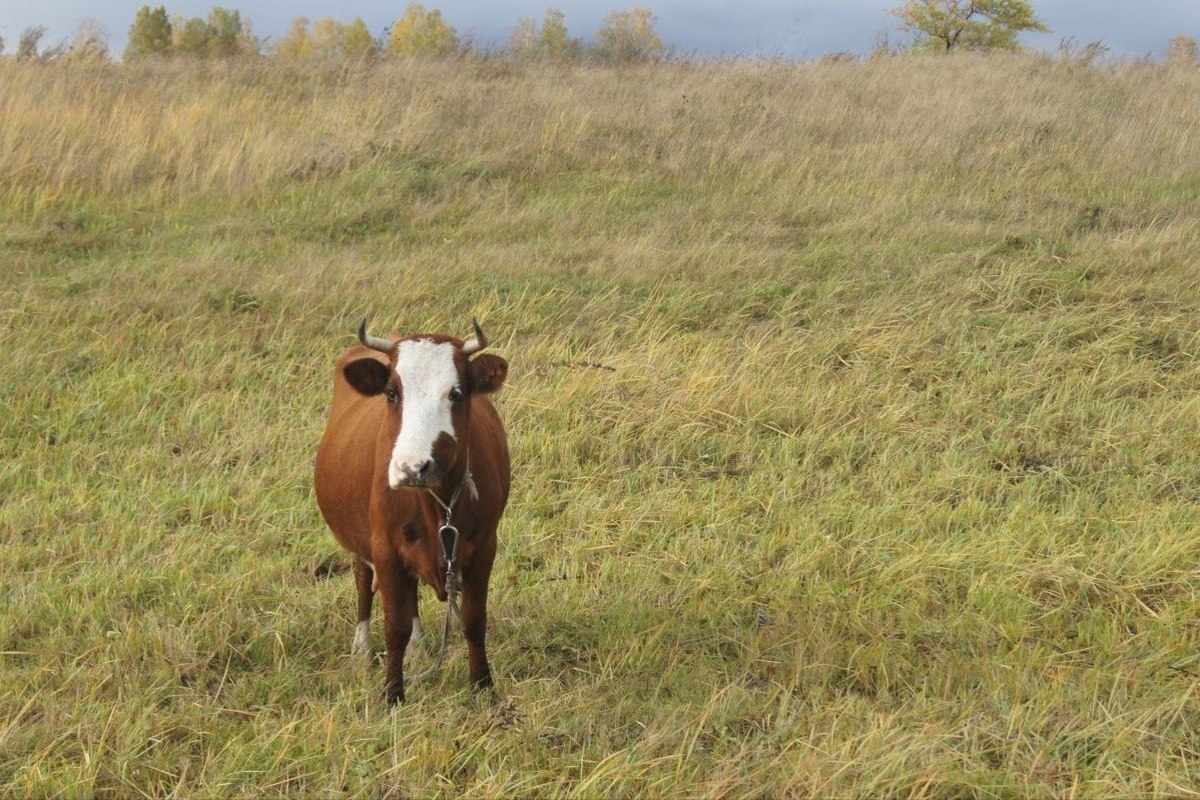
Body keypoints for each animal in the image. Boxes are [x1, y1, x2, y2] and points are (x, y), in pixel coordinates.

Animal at [314, 316, 506, 705]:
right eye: (391, 393)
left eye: (456, 393)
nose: (413, 468)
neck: (438, 505)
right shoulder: (385, 548)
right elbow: (395, 625)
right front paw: (393, 693)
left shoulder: (484, 546)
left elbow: (474, 618)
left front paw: (482, 683)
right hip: (363, 541)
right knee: (363, 582)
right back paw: (362, 648)